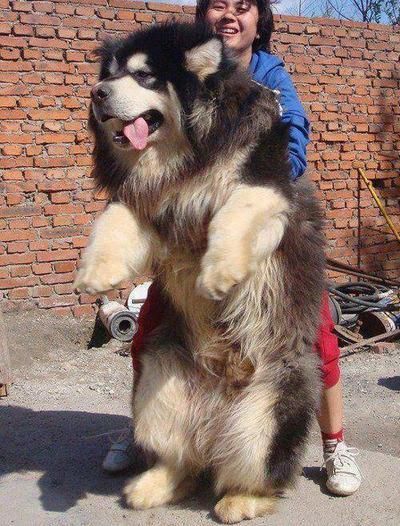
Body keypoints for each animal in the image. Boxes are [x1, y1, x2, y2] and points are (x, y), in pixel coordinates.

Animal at [75, 21, 324, 524]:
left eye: (145, 76)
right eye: (110, 74)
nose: (97, 93)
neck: (184, 158)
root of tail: (215, 420)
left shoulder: (265, 182)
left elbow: (238, 212)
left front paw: (218, 273)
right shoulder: (145, 202)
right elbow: (115, 220)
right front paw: (96, 273)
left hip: (272, 406)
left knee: (259, 473)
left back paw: (242, 500)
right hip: (158, 379)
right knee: (183, 458)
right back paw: (154, 484)